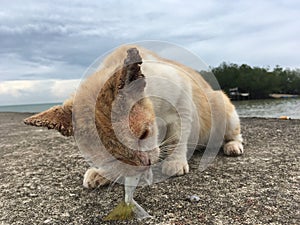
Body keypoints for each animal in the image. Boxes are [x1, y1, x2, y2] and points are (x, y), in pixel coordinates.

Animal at [23, 45, 244, 188]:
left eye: (144, 134)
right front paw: (102, 173)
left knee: (233, 134)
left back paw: (232, 145)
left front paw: (174, 161)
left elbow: (179, 135)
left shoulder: (183, 97)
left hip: (221, 105)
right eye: (115, 153)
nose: (145, 163)